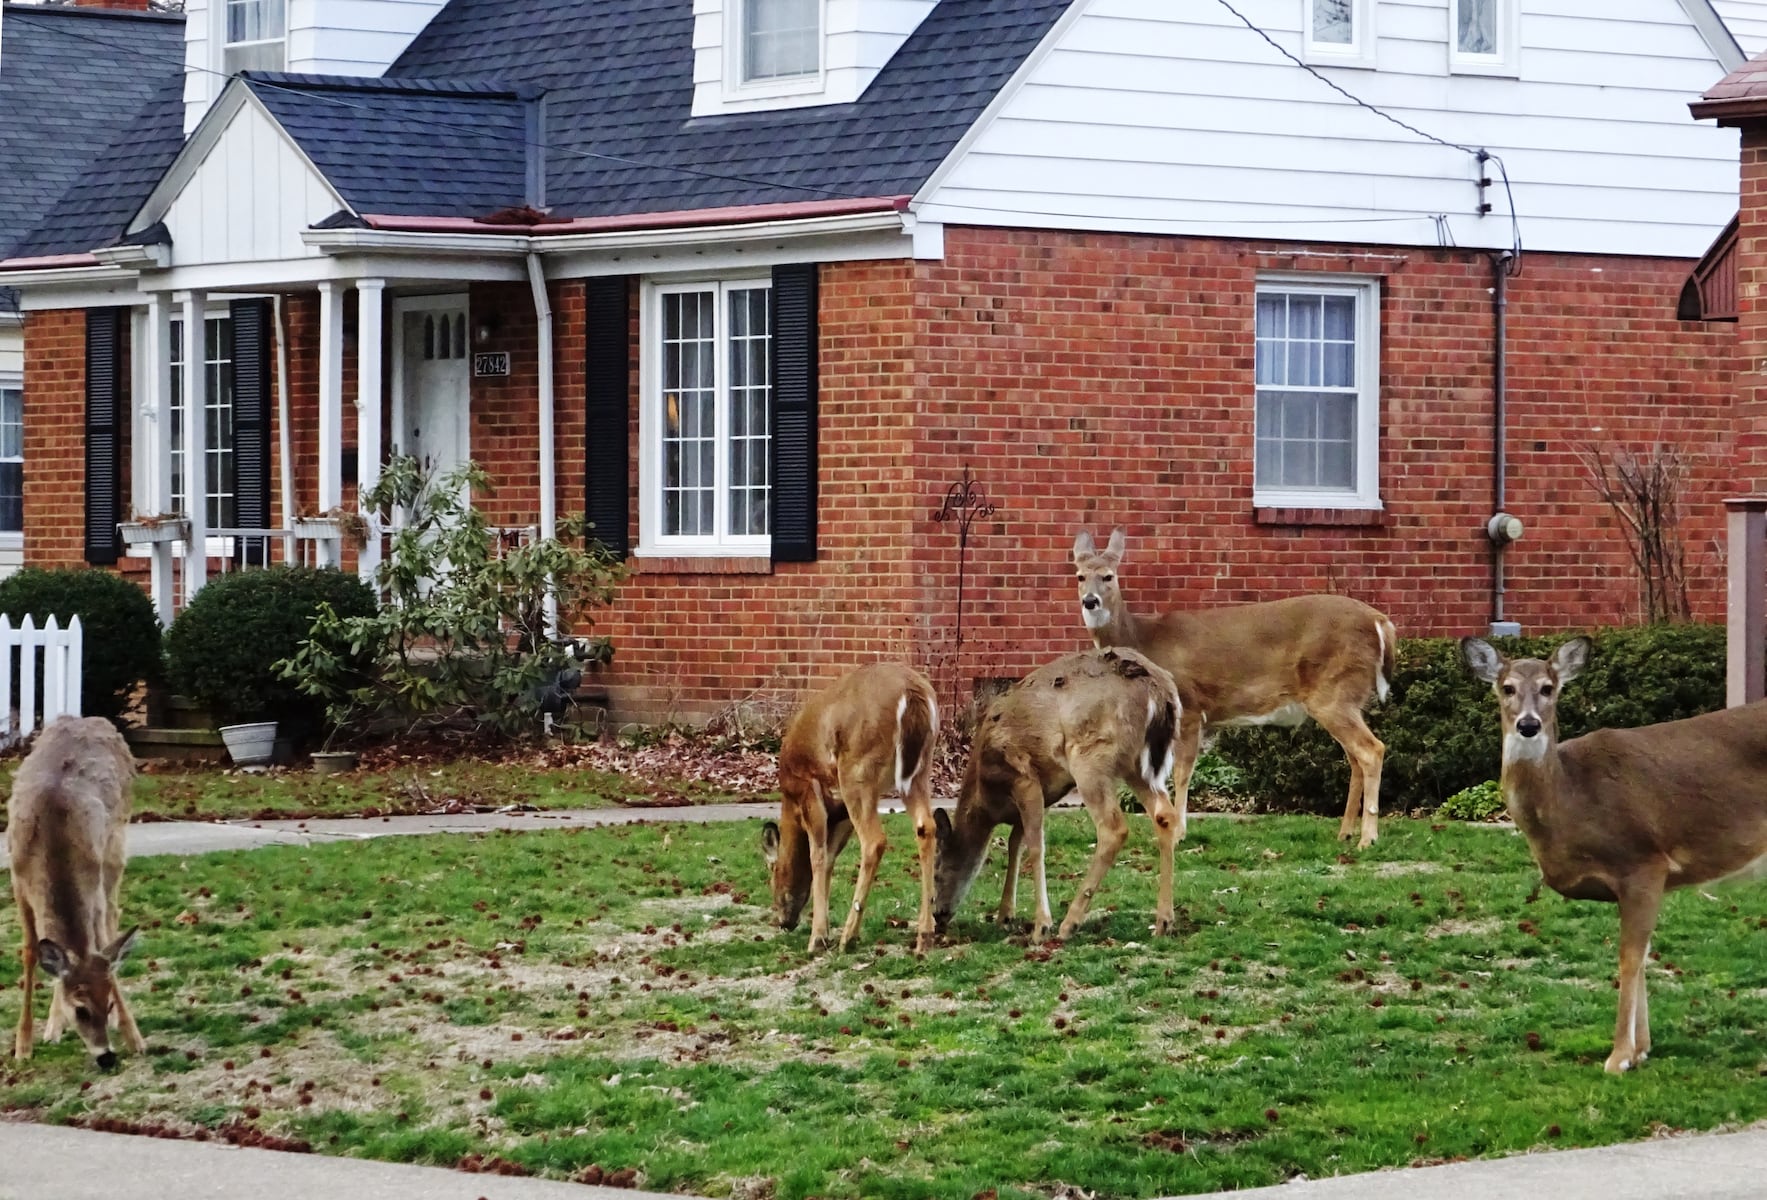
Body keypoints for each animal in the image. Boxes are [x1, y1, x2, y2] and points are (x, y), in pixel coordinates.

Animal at [10, 716, 145, 1070]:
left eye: (108, 1003)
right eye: (81, 1010)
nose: (106, 1057)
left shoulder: (92, 881)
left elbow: (100, 944)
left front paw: (133, 1037)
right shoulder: (17, 880)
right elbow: (31, 951)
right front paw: (23, 1045)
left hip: (114, 848)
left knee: (113, 918)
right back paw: (52, 1028)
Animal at [761, 662, 939, 955]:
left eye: (772, 872)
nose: (783, 922)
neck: (790, 802)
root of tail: (913, 693)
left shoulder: (808, 788)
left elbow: (818, 856)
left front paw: (818, 938)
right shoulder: (839, 809)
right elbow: (831, 856)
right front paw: (823, 931)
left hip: (857, 771)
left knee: (874, 841)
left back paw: (849, 937)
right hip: (919, 770)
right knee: (927, 827)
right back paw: (924, 936)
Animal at [931, 647, 1185, 943]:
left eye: (936, 872)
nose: (938, 916)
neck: (988, 798)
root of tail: (1161, 692)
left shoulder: (1023, 776)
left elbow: (1034, 845)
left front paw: (1041, 925)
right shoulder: (1042, 794)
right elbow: (1015, 843)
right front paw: (1005, 915)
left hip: (1091, 754)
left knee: (1114, 828)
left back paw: (1069, 924)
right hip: (1137, 765)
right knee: (1164, 815)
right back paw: (1164, 921)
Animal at [1073, 527, 1396, 848]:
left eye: (1108, 576)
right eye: (1079, 575)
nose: (1090, 601)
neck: (1144, 640)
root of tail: (1381, 622)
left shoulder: (1190, 706)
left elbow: (1181, 773)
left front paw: (1178, 834)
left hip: (1334, 692)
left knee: (1372, 750)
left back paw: (1368, 838)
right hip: (1346, 697)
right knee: (1355, 756)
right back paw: (1345, 832)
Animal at [1462, 636, 1767, 1073]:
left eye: (1548, 688)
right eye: (1507, 688)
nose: (1528, 724)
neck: (1572, 800)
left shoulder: (1643, 862)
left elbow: (1629, 958)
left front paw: (1620, 1055)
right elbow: (1642, 955)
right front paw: (1641, 1049)